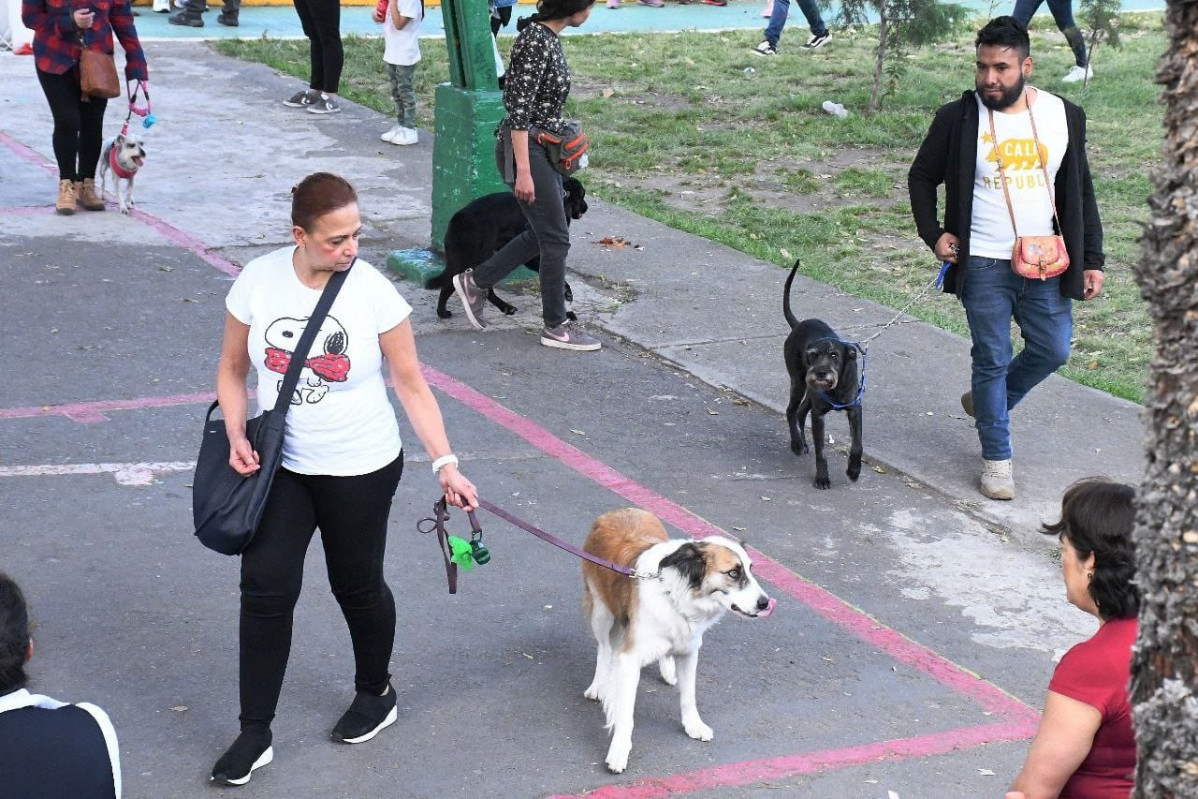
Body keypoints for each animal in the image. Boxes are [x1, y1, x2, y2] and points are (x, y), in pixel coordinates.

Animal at [426, 178, 589, 321]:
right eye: (582, 193)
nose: (586, 208)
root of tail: (457, 219)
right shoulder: (535, 257)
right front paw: (566, 301)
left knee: (451, 284)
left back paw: (442, 312)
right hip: (478, 259)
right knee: (481, 287)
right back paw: (505, 307)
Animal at [582, 505, 776, 776]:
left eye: (750, 569)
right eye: (733, 573)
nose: (765, 603)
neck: (679, 594)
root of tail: (620, 510)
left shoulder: (689, 651)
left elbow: (688, 696)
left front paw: (693, 725)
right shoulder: (630, 659)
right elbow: (626, 713)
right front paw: (619, 751)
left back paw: (666, 669)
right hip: (601, 611)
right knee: (604, 648)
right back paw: (598, 685)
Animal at [785, 259, 862, 491]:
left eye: (835, 355)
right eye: (813, 355)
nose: (820, 373)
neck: (836, 389)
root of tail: (798, 324)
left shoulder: (855, 409)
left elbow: (857, 445)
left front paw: (854, 471)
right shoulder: (819, 414)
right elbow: (821, 452)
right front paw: (822, 478)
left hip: (809, 392)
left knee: (800, 411)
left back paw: (802, 441)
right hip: (798, 382)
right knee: (791, 411)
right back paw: (797, 443)